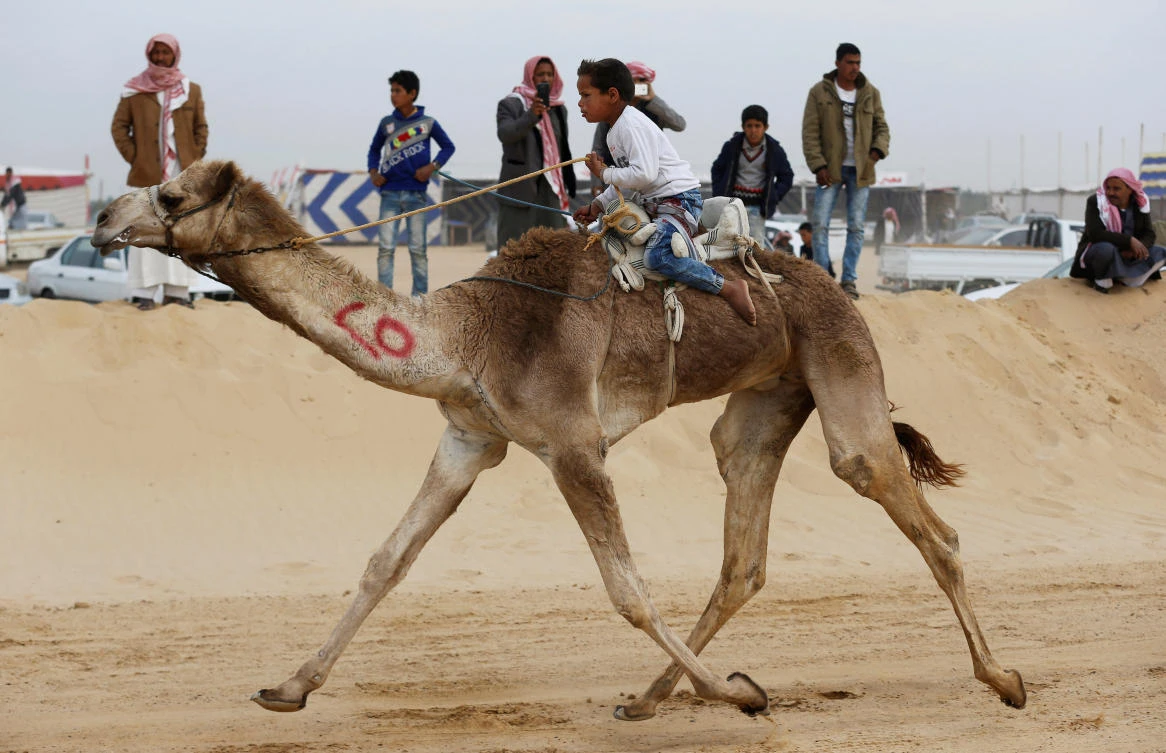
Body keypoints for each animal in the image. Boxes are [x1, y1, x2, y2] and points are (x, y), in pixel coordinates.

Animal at [92, 159, 1027, 722]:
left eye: (171, 196)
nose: (102, 217)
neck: (465, 335)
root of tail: (836, 286)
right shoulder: (470, 437)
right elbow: (387, 559)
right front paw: (288, 686)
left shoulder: (574, 444)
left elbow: (628, 590)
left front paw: (737, 694)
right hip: (768, 398)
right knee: (743, 549)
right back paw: (655, 698)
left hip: (842, 364)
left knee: (912, 509)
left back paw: (1005, 680)